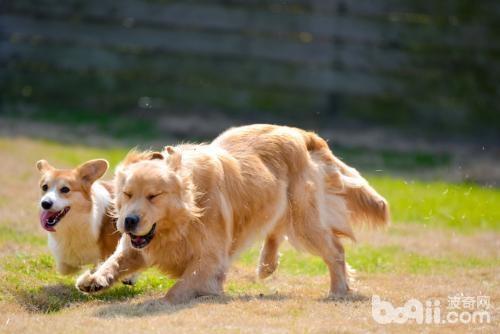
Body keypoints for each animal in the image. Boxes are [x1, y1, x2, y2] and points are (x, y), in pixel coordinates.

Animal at [77, 124, 390, 302]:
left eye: (154, 196)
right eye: (127, 194)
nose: (128, 221)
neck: (187, 215)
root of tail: (301, 134)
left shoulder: (210, 260)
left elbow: (178, 289)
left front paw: (168, 299)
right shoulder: (136, 247)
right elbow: (114, 261)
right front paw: (94, 279)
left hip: (304, 220)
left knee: (335, 250)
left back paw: (339, 290)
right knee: (276, 228)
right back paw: (267, 265)